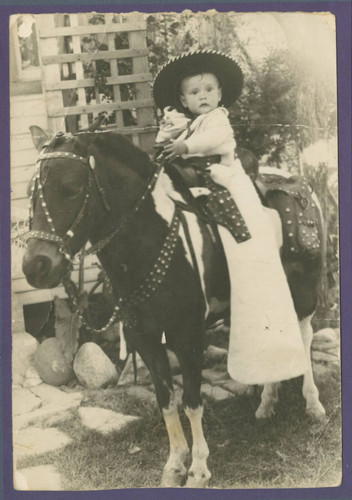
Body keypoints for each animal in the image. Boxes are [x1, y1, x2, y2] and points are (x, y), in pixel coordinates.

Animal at [21, 129, 324, 488]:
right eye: (31, 193)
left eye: (71, 188)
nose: (35, 267)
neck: (155, 238)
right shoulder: (147, 339)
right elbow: (166, 402)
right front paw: (175, 465)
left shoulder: (188, 337)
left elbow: (192, 403)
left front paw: (198, 469)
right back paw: (266, 404)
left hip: (304, 296)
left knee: (304, 341)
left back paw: (314, 405)